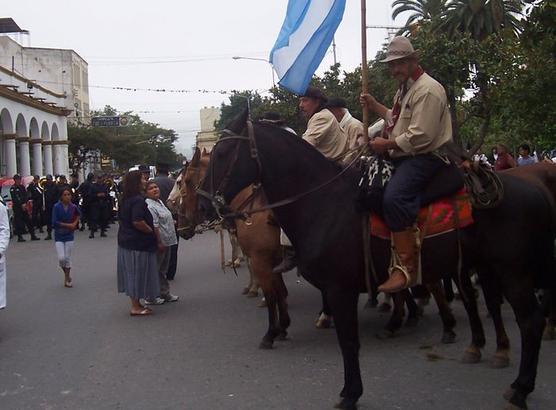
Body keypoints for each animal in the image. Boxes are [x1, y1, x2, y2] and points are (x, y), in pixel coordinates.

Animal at [198, 109, 552, 410]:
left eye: (223, 153)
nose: (202, 204)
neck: (323, 203)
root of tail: (535, 187)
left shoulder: (339, 289)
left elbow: (348, 341)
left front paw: (350, 393)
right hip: (486, 267)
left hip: (513, 273)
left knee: (530, 321)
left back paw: (520, 388)